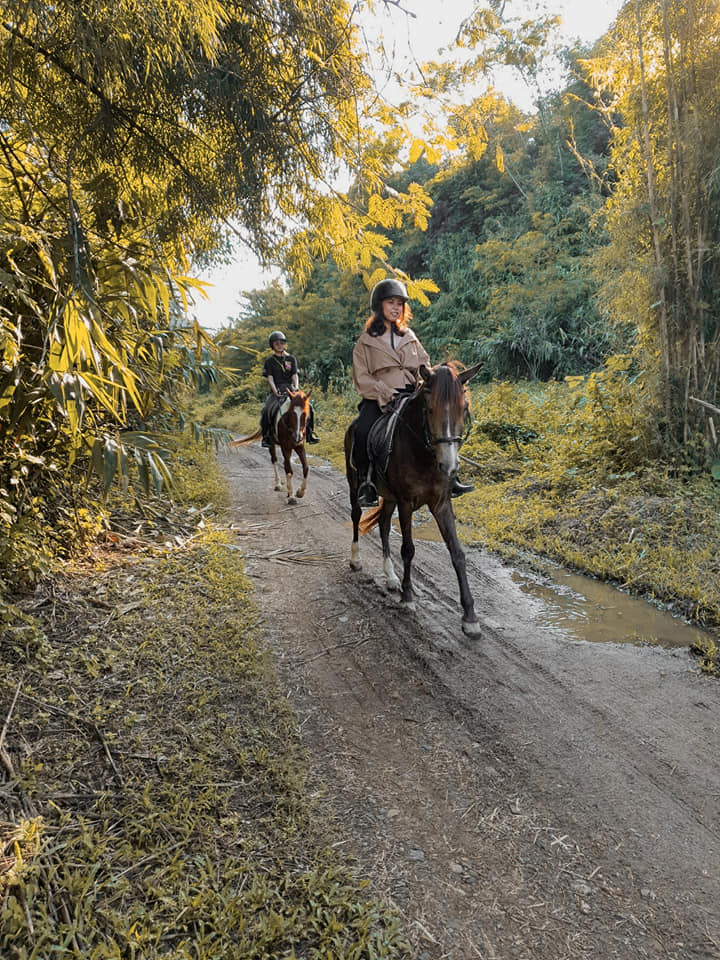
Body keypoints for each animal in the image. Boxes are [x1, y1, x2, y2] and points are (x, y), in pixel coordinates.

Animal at [344, 364, 484, 632]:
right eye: (429, 409)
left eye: (464, 409)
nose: (449, 466)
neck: (424, 453)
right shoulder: (406, 502)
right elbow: (408, 549)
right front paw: (408, 597)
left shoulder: (441, 503)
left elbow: (457, 553)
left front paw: (470, 617)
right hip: (354, 483)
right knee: (356, 515)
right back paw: (355, 560)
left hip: (388, 497)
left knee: (384, 525)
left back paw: (390, 578)